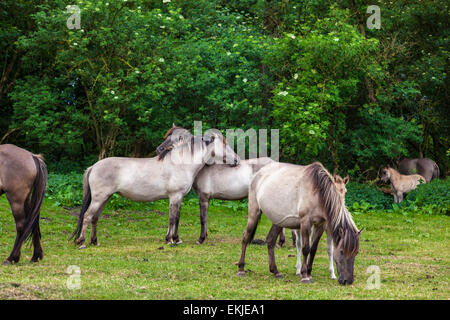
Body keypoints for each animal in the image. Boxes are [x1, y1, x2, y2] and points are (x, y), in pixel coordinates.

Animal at [72, 127, 241, 248]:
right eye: (225, 144)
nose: (237, 160)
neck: (181, 163)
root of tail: (93, 166)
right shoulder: (175, 196)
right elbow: (173, 218)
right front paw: (170, 240)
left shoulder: (179, 197)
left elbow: (177, 217)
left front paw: (176, 239)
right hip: (99, 198)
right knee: (87, 216)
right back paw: (82, 242)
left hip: (105, 198)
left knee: (95, 218)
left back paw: (95, 241)